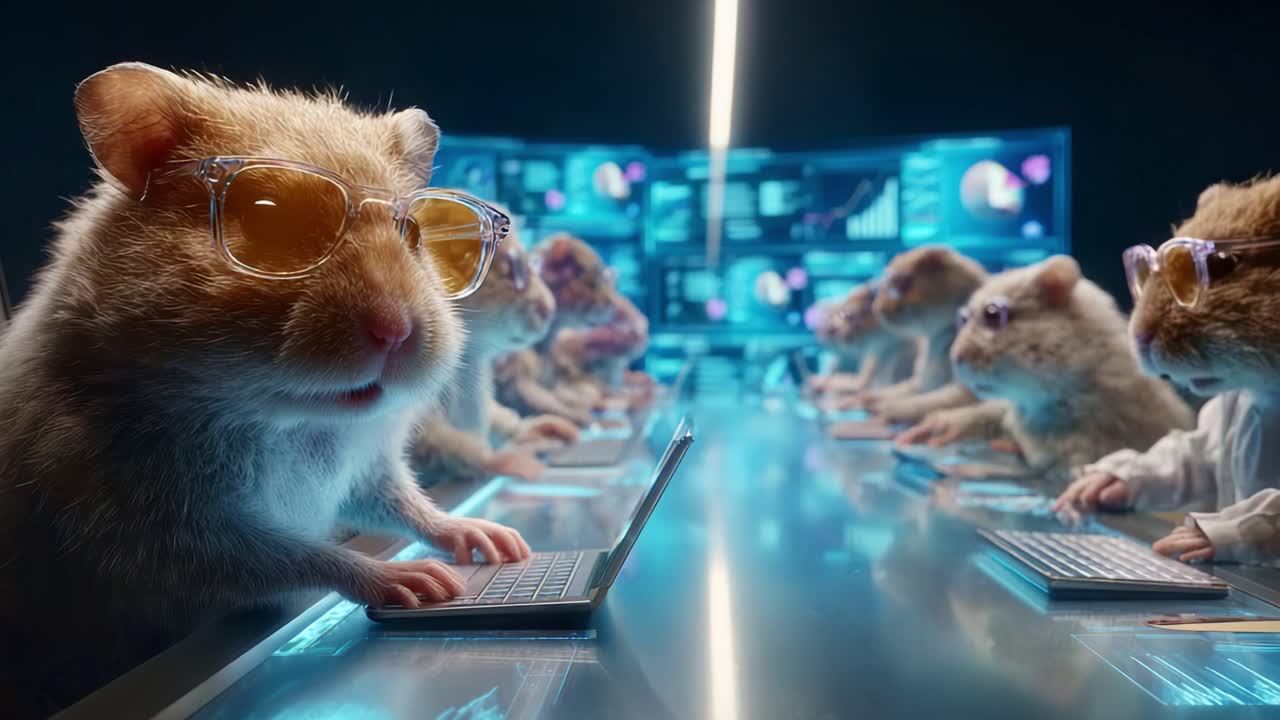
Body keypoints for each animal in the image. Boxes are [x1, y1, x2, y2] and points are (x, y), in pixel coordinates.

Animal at [0, 63, 530, 716]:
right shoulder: (155, 527)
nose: (398, 331)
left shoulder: (363, 470)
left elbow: (406, 503)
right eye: (269, 217)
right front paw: (418, 582)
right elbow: (293, 555)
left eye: (413, 233)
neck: (294, 418)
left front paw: (495, 540)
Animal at [863, 245, 987, 422]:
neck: (937, 340)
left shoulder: (967, 390)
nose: (877, 307)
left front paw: (888, 407)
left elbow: (927, 401)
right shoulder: (922, 380)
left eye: (901, 284)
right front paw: (873, 397)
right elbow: (904, 389)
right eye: (885, 286)